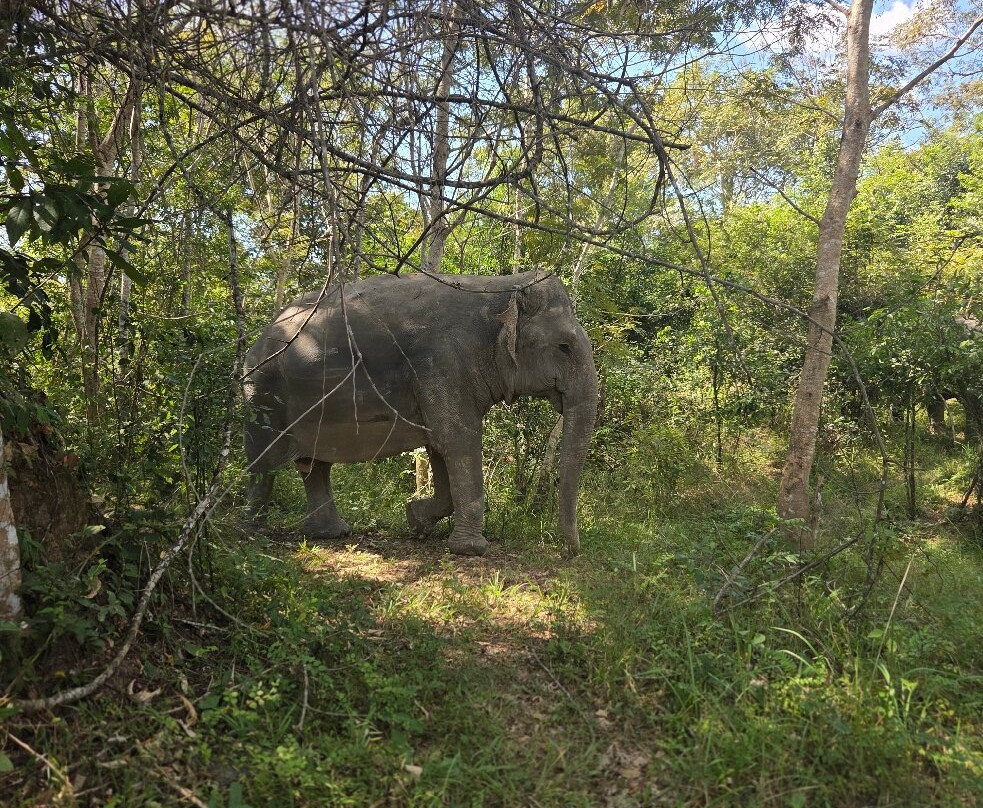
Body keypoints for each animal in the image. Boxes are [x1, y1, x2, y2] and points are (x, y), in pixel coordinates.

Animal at [242, 270, 598, 556]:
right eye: (564, 347)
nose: (568, 551)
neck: (503, 286)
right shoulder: (441, 363)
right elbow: (459, 440)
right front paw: (472, 550)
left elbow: (440, 447)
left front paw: (415, 521)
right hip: (261, 396)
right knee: (264, 467)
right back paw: (251, 534)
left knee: (314, 467)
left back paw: (332, 534)